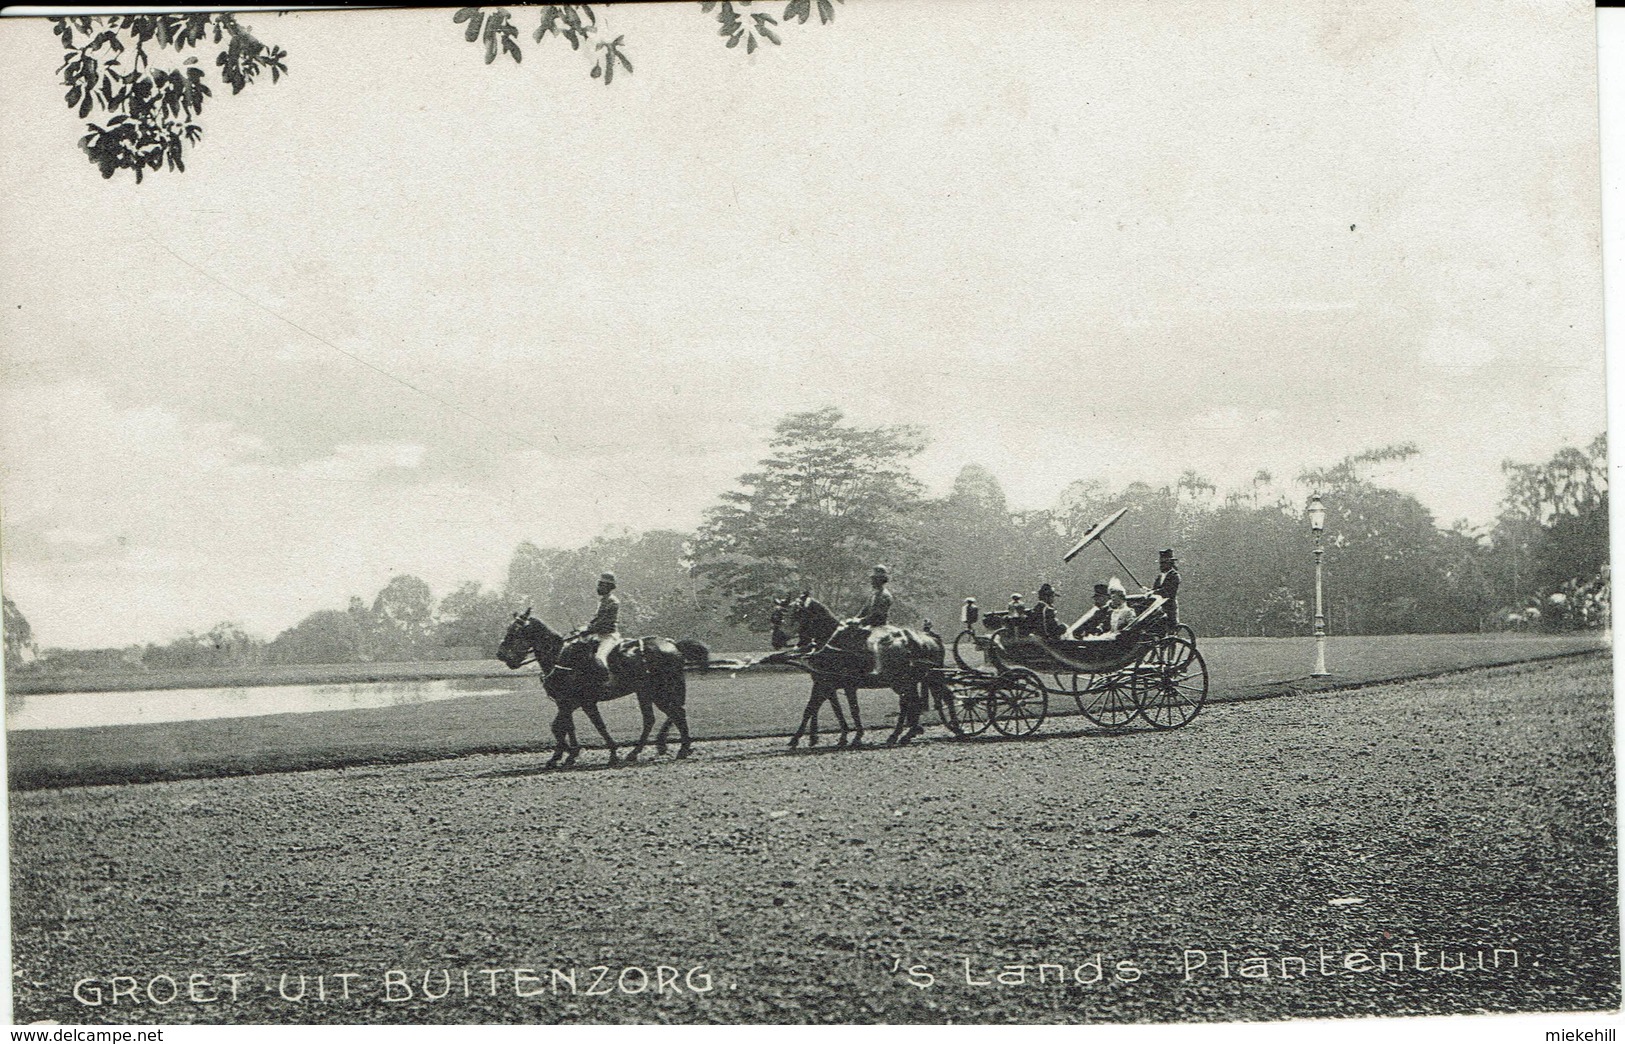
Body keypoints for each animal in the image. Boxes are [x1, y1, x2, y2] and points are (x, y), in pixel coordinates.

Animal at [494, 611, 698, 764]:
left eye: (515, 631)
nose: (501, 655)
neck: (562, 659)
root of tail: (672, 644)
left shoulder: (584, 702)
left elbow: (596, 725)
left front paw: (609, 753)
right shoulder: (566, 703)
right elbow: (561, 727)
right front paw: (565, 754)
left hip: (658, 692)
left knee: (674, 714)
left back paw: (679, 748)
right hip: (648, 693)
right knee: (662, 716)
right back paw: (654, 750)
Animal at [767, 588, 949, 744]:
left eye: (793, 613)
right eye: (775, 617)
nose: (775, 640)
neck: (830, 642)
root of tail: (928, 638)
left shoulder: (834, 684)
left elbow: (817, 708)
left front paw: (798, 738)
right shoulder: (828, 683)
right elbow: (833, 709)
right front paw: (841, 735)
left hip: (902, 681)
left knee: (911, 703)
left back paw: (904, 733)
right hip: (905, 682)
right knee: (910, 703)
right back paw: (905, 732)